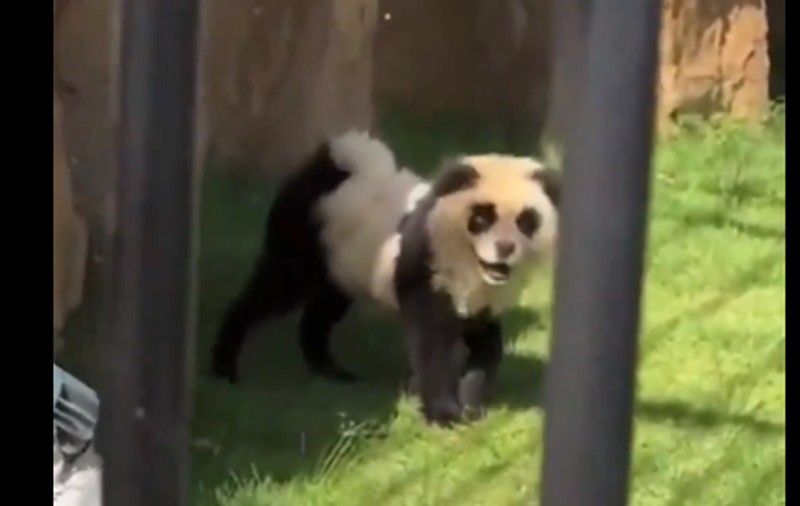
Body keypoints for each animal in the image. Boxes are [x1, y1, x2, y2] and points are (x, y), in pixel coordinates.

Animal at [210, 130, 560, 426]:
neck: (470, 266)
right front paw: (443, 414)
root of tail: (328, 164)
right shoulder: (425, 265)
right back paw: (224, 366)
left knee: (321, 312)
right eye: (482, 217)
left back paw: (330, 371)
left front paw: (472, 406)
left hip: (344, 264)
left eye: (526, 221)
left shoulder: (481, 300)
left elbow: (486, 346)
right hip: (303, 236)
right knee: (274, 289)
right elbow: (431, 342)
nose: (505, 249)